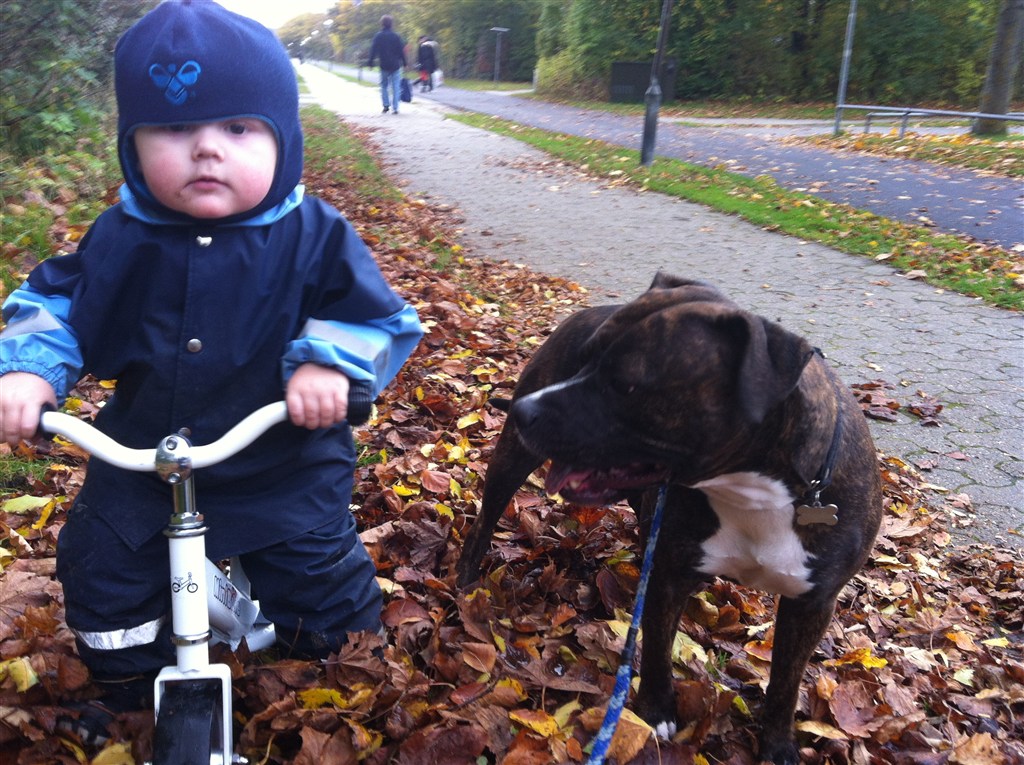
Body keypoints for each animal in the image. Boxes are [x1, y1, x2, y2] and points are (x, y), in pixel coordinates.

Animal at [456, 273, 882, 765]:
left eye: (626, 386)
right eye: (584, 358)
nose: (524, 408)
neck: (753, 492)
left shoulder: (812, 604)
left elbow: (786, 683)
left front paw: (777, 745)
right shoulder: (670, 577)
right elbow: (658, 649)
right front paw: (656, 711)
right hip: (512, 459)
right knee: (485, 519)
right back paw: (465, 580)